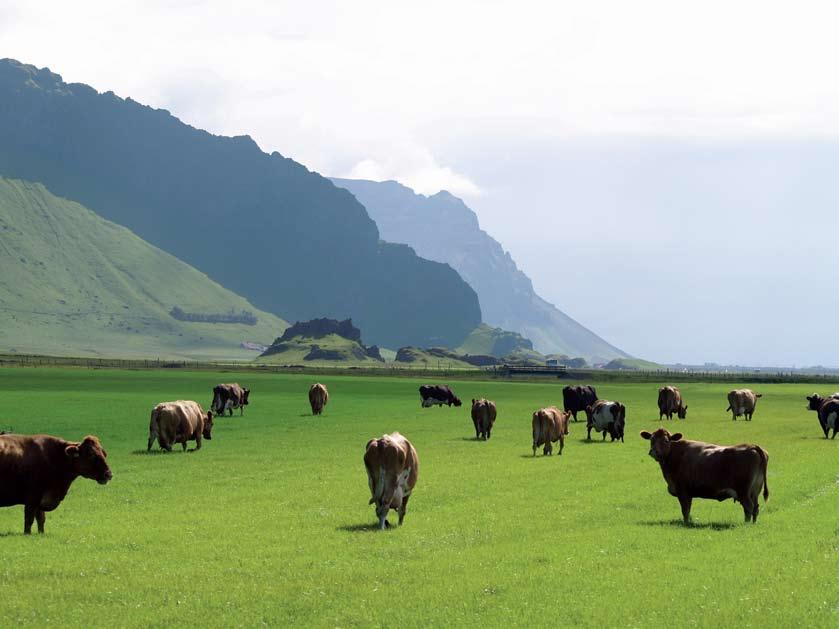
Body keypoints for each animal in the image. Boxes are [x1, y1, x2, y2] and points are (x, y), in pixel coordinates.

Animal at [640, 426, 772, 524]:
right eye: (651, 440)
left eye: (666, 441)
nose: (653, 452)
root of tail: (752, 446)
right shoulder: (688, 493)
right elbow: (688, 509)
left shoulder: (683, 491)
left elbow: (685, 510)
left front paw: (686, 523)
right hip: (755, 490)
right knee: (755, 508)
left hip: (743, 491)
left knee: (748, 507)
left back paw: (745, 524)